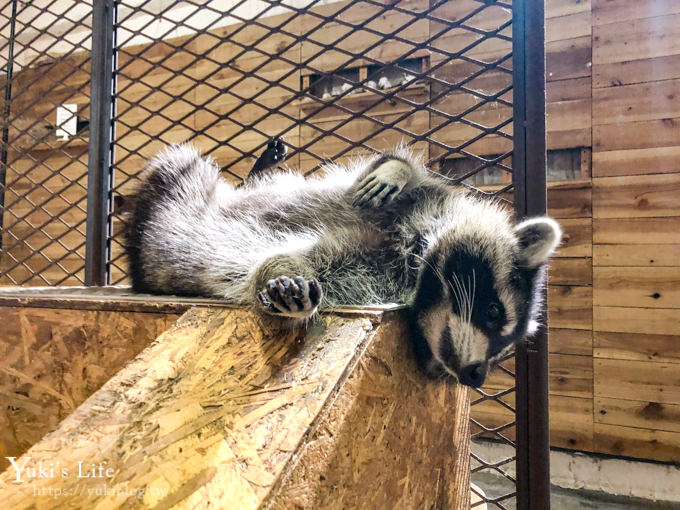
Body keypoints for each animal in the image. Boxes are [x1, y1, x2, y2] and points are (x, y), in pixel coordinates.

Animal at [125, 139, 560, 386]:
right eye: (493, 312)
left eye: (504, 349)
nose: (475, 378)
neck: (416, 249)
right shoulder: (415, 201)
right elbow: (391, 171)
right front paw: (396, 168)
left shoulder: (371, 273)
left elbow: (304, 263)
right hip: (176, 193)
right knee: (182, 165)